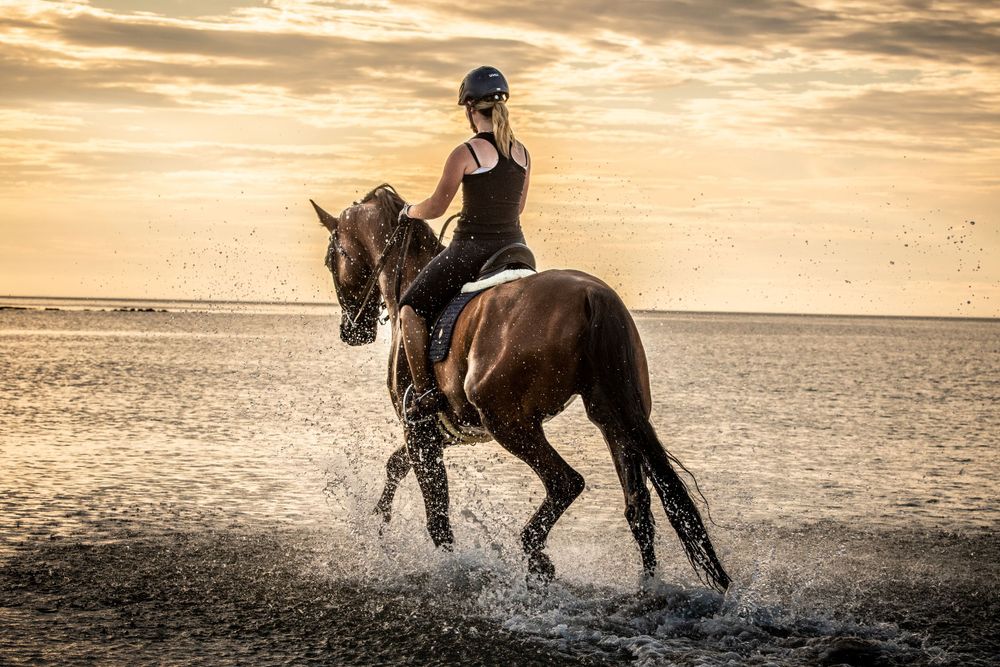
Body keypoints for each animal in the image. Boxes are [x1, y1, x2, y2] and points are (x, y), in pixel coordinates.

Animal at [311, 184, 731, 591]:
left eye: (331, 259)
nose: (351, 332)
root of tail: (594, 296)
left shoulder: (421, 429)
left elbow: (436, 514)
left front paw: (449, 567)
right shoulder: (444, 431)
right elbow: (396, 465)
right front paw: (379, 520)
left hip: (509, 422)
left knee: (566, 482)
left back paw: (537, 556)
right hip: (612, 417)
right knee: (638, 506)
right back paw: (647, 585)